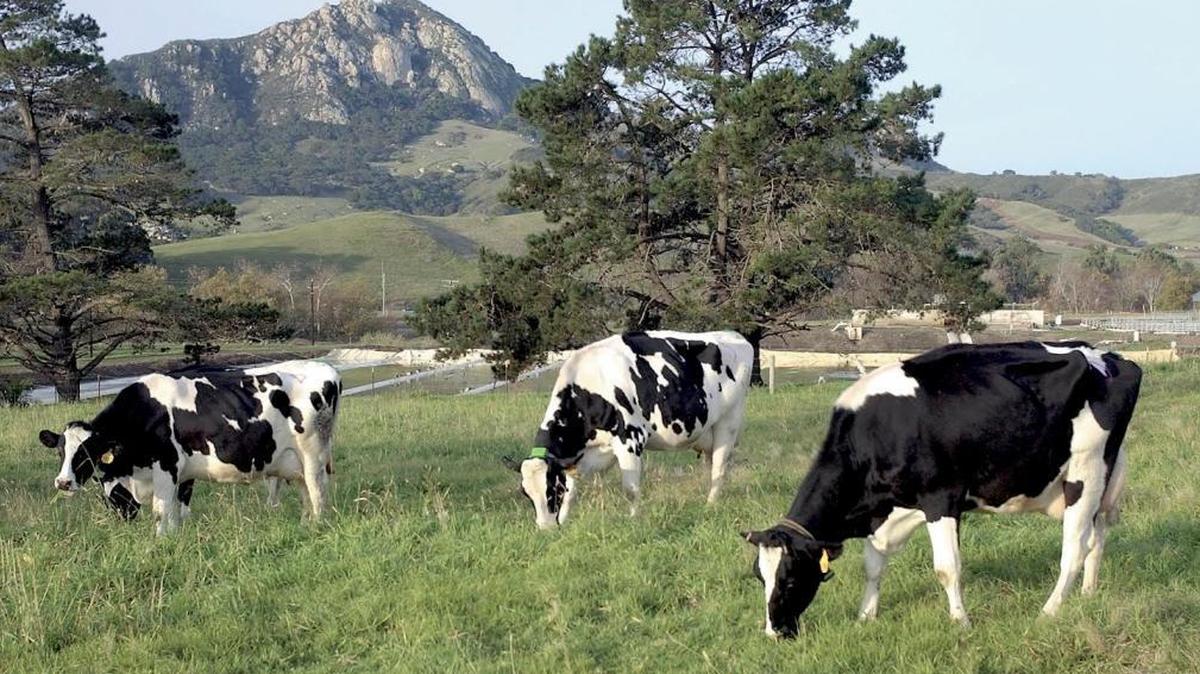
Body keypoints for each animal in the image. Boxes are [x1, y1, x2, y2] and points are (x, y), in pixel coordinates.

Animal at [39, 360, 341, 535]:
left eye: (85, 452)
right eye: (61, 451)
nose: (62, 482)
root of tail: (326, 368)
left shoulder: (166, 466)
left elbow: (161, 511)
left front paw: (160, 543)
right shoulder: (181, 475)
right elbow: (177, 511)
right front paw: (174, 539)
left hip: (313, 455)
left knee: (318, 493)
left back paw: (318, 528)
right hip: (294, 463)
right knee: (306, 495)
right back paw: (305, 526)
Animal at [505, 330, 752, 530]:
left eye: (552, 489)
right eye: (526, 493)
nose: (545, 528)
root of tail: (735, 336)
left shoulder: (631, 439)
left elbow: (630, 489)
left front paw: (634, 520)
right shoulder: (579, 455)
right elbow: (573, 491)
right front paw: (564, 521)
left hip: (728, 424)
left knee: (719, 467)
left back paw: (711, 504)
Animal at [744, 341, 1141, 638]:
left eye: (789, 580)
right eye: (759, 577)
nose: (774, 633)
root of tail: (1105, 356)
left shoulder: (940, 500)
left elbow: (947, 568)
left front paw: (961, 622)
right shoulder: (885, 513)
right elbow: (873, 566)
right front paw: (865, 616)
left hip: (1085, 472)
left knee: (1074, 549)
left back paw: (1049, 612)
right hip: (1103, 480)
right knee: (1098, 537)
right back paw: (1088, 595)